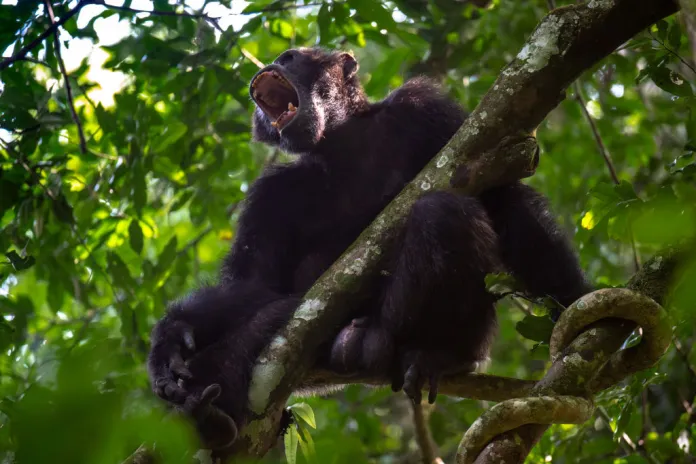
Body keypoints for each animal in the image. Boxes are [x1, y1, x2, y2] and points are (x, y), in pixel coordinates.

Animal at [148, 47, 592, 450]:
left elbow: (506, 202)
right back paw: (205, 415)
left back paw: (441, 353)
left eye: (291, 57)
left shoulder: (428, 111)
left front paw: (577, 306)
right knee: (272, 319)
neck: (342, 139)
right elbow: (257, 281)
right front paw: (173, 337)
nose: (270, 64)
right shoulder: (269, 196)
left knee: (442, 212)